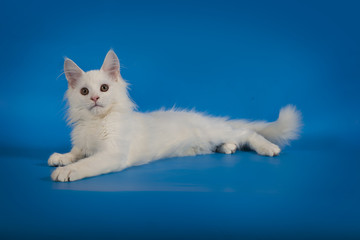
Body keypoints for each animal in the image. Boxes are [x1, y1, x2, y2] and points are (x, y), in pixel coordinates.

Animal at [47, 50, 300, 182]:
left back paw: (268, 148)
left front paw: (66, 171)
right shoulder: (83, 143)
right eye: (84, 92)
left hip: (215, 131)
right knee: (232, 140)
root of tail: (210, 119)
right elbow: (76, 152)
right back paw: (228, 148)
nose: (94, 99)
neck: (96, 122)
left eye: (104, 88)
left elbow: (87, 163)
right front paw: (61, 157)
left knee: (247, 132)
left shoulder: (112, 153)